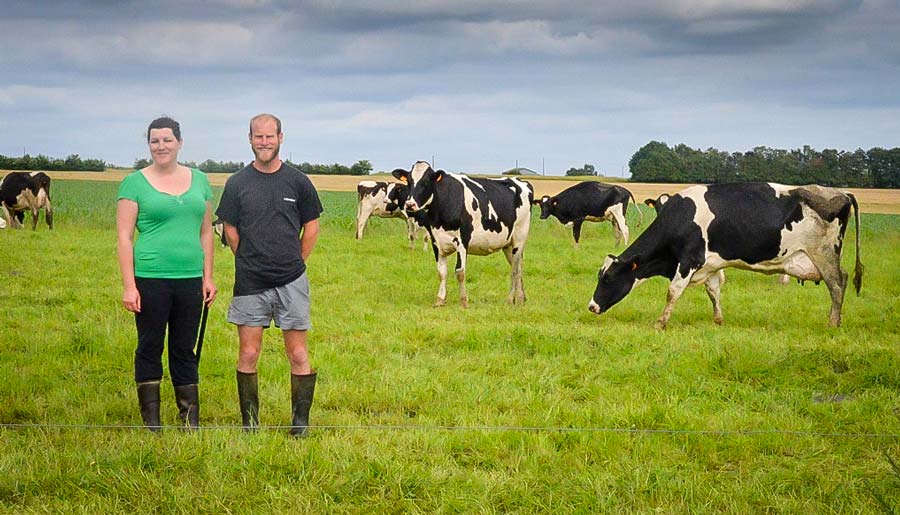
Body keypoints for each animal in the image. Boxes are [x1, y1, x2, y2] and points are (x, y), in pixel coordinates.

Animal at [394, 161, 536, 306]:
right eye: (409, 181)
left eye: (426, 182)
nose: (409, 205)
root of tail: (520, 181)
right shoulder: (436, 241)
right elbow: (441, 272)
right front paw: (440, 300)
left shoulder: (462, 241)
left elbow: (460, 272)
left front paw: (463, 301)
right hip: (507, 243)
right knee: (518, 266)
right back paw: (521, 297)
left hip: (519, 237)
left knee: (515, 269)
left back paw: (512, 299)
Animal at [592, 183, 864, 328]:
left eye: (607, 279)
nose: (591, 306)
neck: (680, 217)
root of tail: (841, 192)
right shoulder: (710, 265)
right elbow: (714, 292)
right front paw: (718, 321)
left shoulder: (689, 260)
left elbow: (673, 292)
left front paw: (660, 323)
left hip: (824, 255)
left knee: (837, 284)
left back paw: (832, 323)